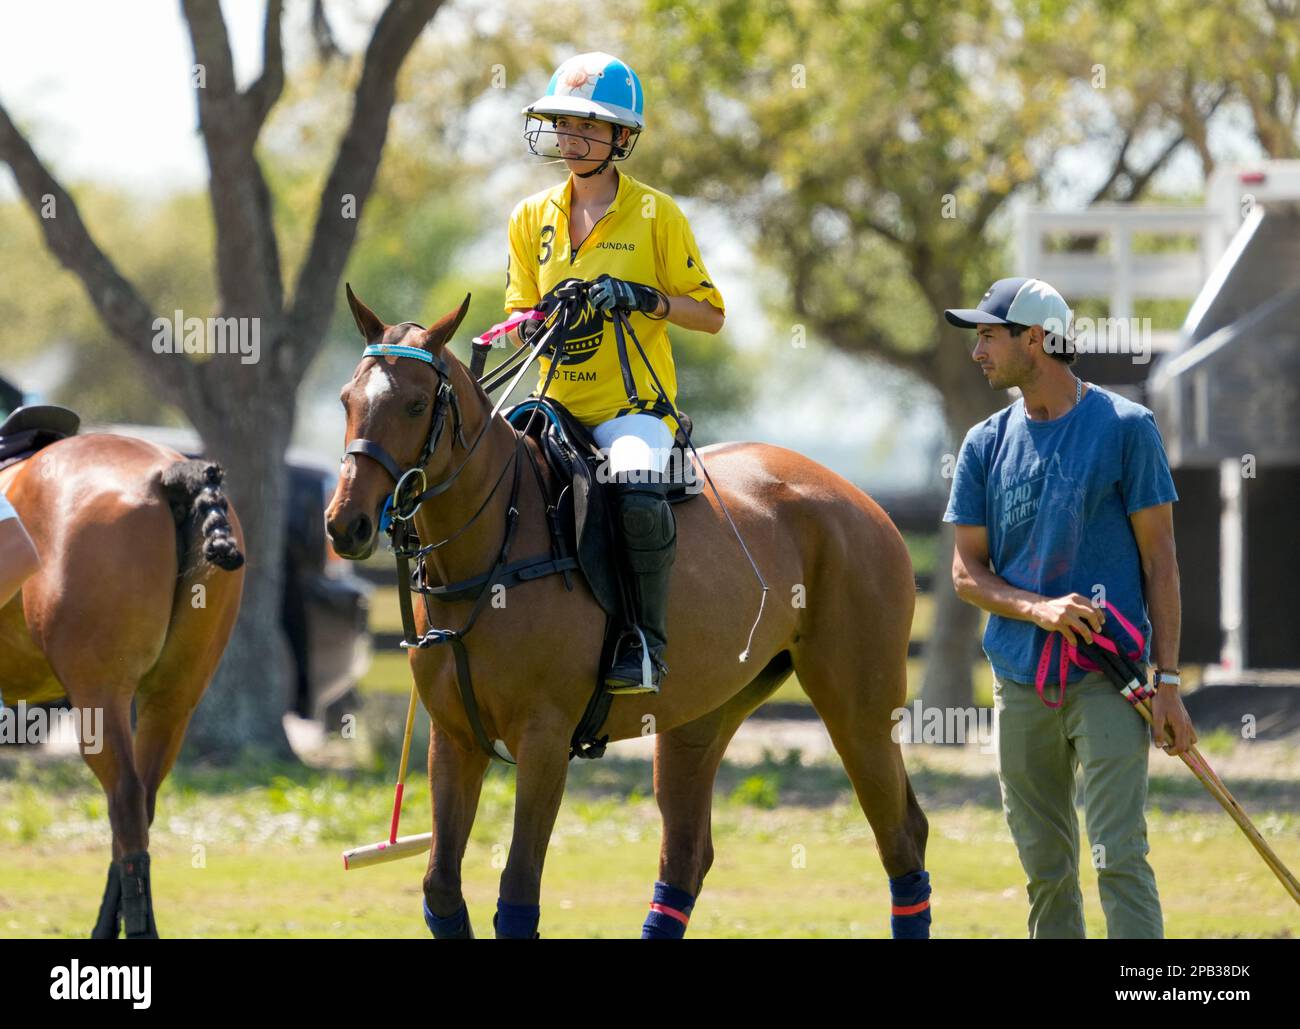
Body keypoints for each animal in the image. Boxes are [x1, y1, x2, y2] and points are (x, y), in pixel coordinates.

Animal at [330, 291, 930, 940]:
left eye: (416, 404)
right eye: (346, 400)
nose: (346, 524)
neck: (494, 548)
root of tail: (863, 501)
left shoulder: (544, 738)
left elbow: (518, 892)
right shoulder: (455, 736)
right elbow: (440, 886)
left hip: (859, 707)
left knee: (902, 836)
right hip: (704, 711)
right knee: (687, 854)